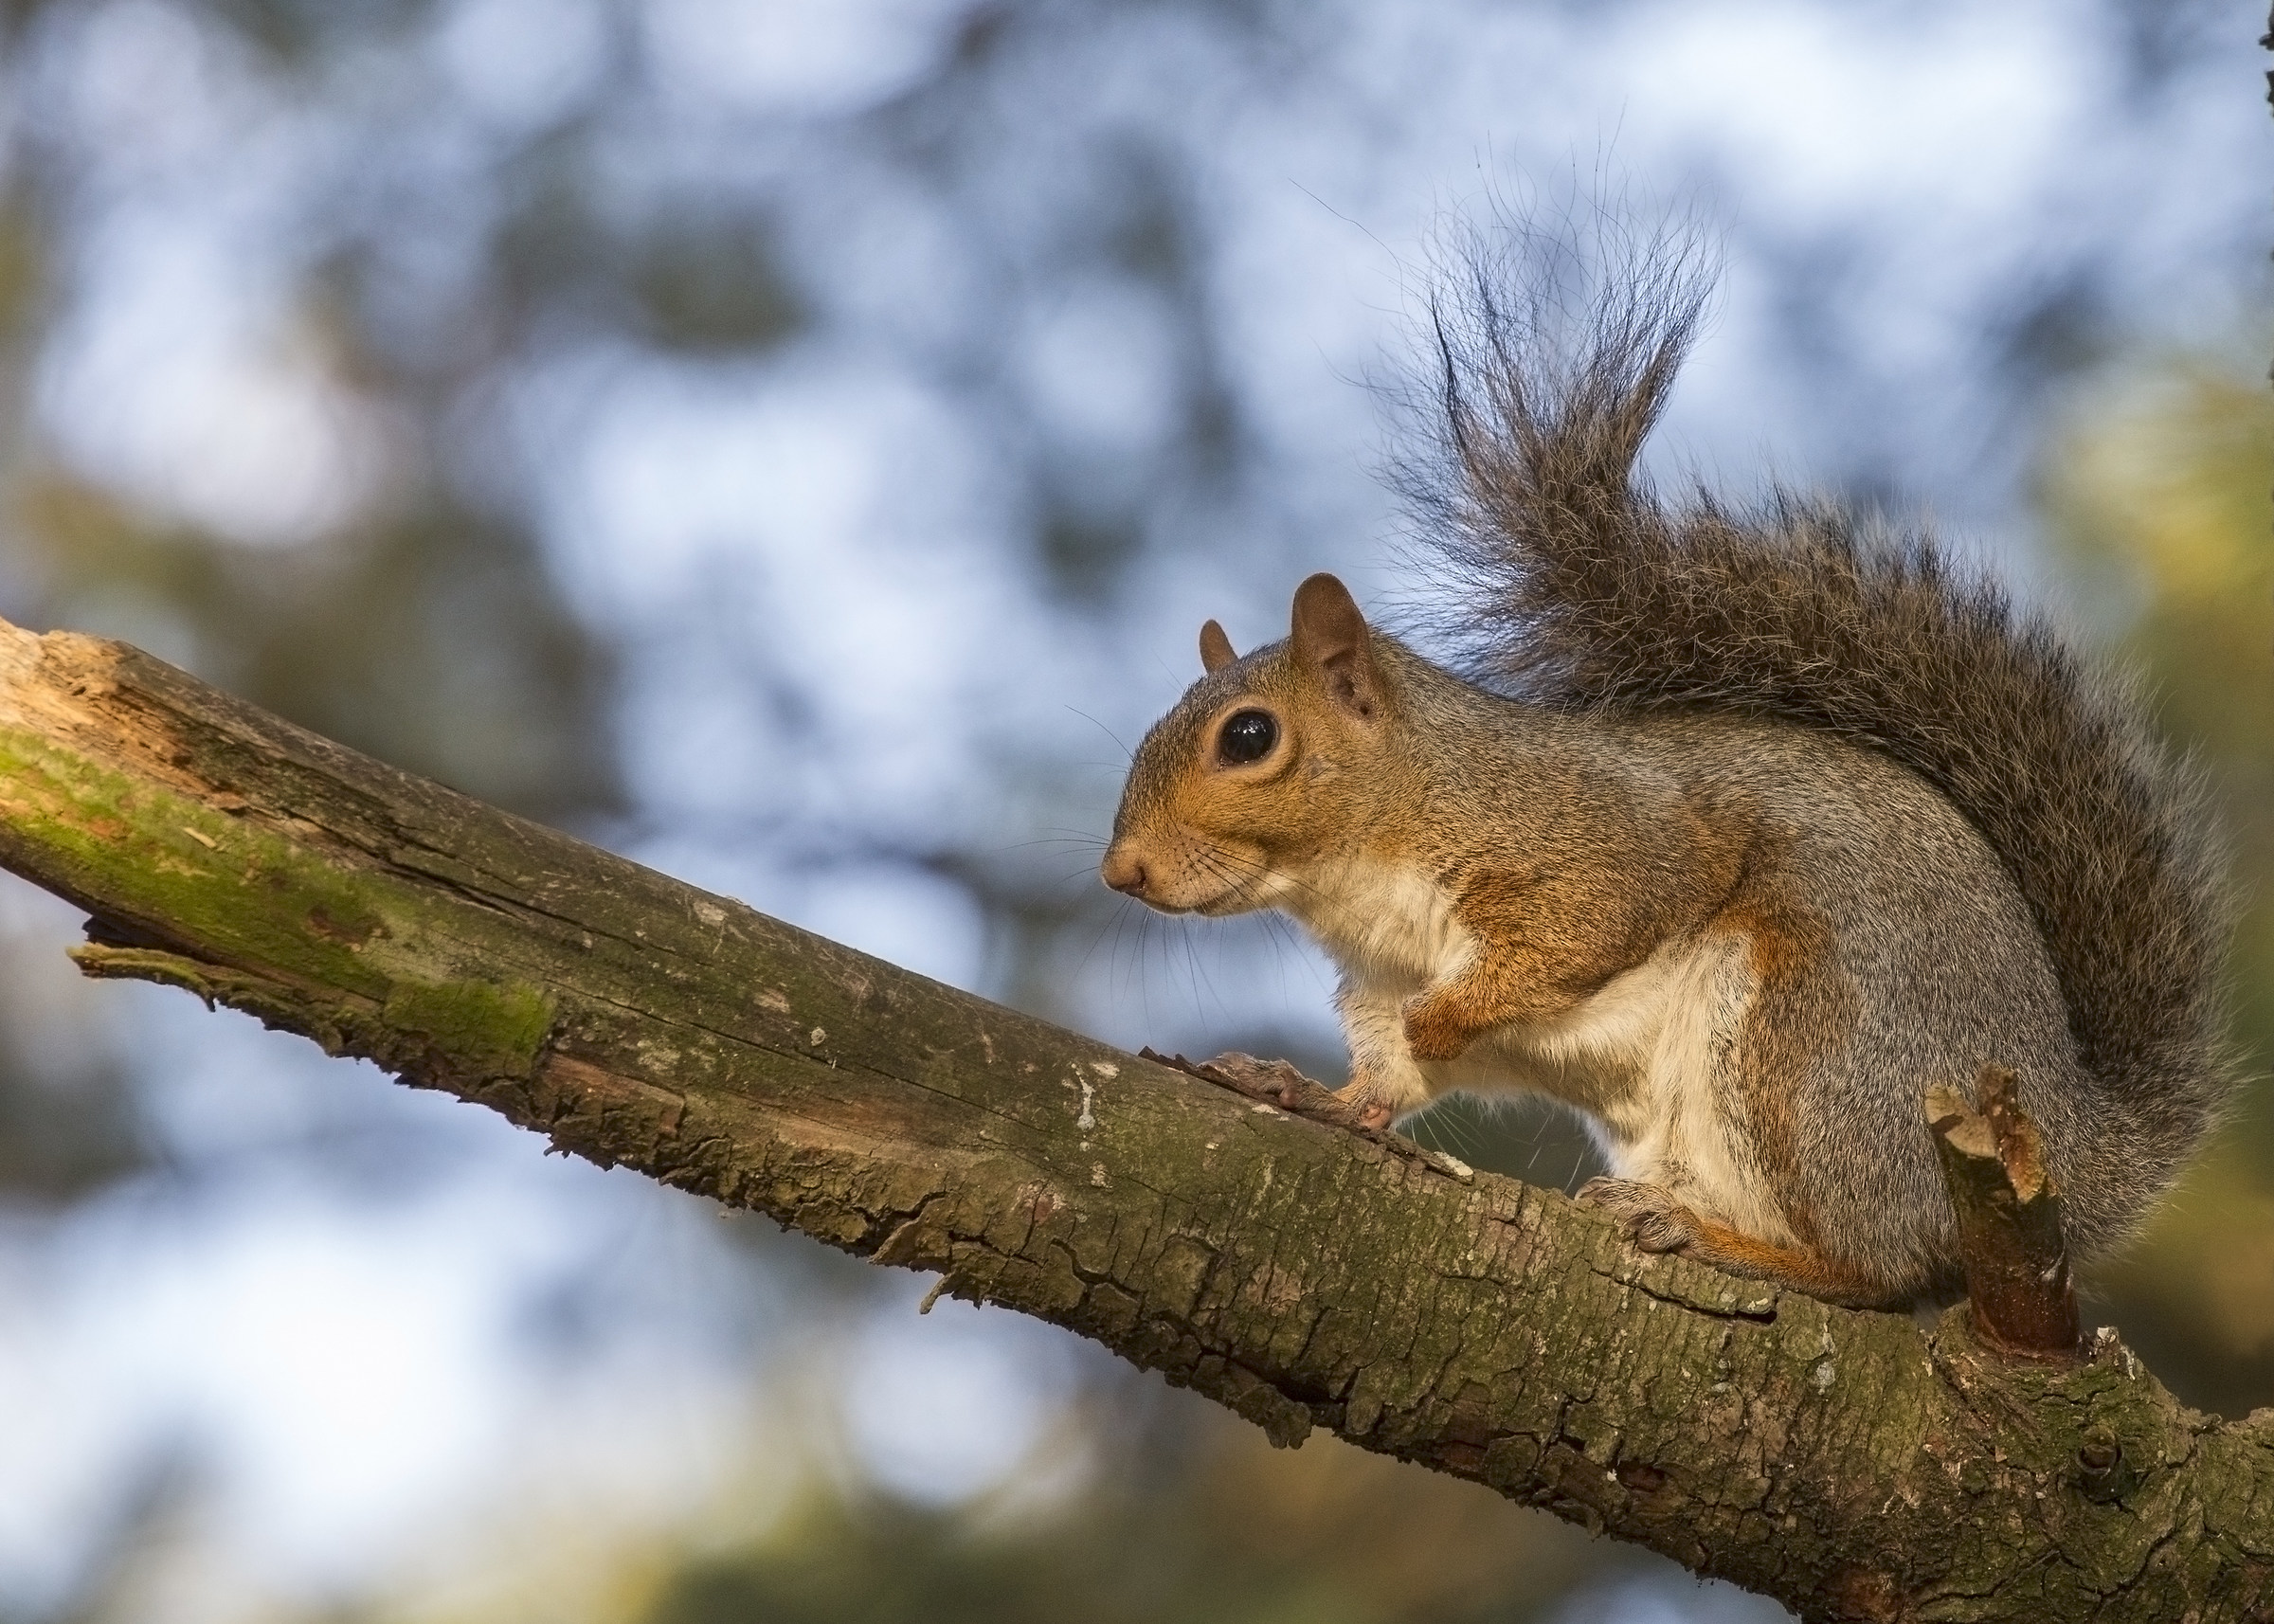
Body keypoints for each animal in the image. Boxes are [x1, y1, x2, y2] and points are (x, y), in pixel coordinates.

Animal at [1098, 231, 2234, 1309]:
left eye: (1249, 738)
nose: (1122, 873)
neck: (1367, 864)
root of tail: (2071, 1141)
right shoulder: (1378, 982)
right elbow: (1387, 1076)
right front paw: (1309, 1092)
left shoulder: (1593, 840)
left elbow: (1586, 926)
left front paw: (1447, 1015)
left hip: (1813, 1055)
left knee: (1880, 1266)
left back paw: (1727, 1243)